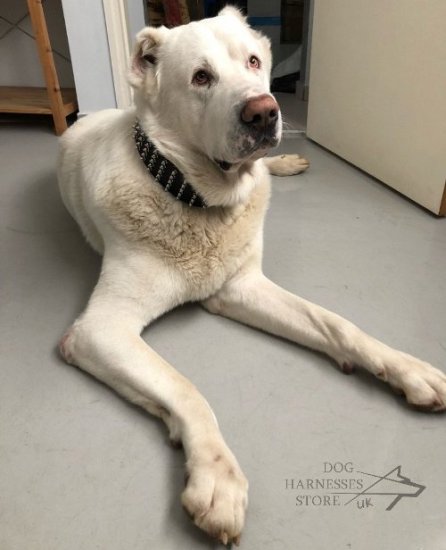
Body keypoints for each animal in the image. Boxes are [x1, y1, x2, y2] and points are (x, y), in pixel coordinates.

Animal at [57, 7, 444, 548]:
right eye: (201, 77)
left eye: (254, 62)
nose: (264, 111)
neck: (196, 198)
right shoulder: (99, 329)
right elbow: (186, 389)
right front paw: (217, 479)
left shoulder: (241, 286)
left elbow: (337, 324)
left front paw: (407, 368)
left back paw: (287, 162)